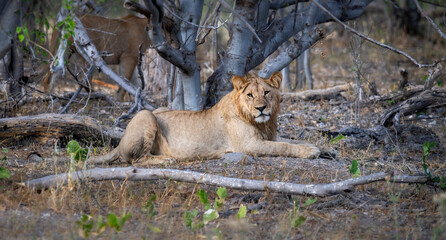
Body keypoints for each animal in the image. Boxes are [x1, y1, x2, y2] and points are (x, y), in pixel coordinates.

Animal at [91, 71, 320, 165]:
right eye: (250, 95)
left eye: (266, 92)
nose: (261, 108)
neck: (263, 124)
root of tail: (120, 142)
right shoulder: (248, 145)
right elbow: (284, 146)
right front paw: (310, 151)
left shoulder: (269, 136)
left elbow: (289, 140)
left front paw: (320, 147)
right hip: (146, 114)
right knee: (135, 160)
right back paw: (167, 159)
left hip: (159, 109)